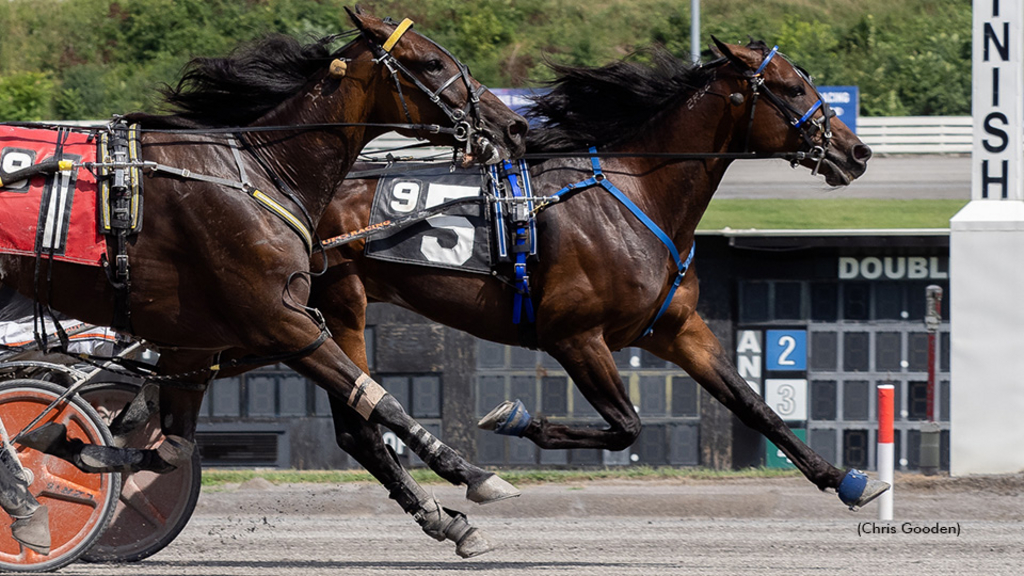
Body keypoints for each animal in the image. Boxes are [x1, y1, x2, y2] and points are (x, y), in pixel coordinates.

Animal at [0, 7, 524, 557]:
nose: (513, 125)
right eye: (432, 62)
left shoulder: (194, 341)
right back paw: (24, 502)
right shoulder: (281, 320)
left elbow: (172, 448)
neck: (260, 171)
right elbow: (384, 401)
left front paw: (73, 445)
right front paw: (476, 476)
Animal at [311, 39, 888, 506]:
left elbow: (754, 405)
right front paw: (516, 418)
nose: (857, 151)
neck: (638, 193)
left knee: (356, 426)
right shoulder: (575, 336)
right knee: (361, 423)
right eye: (792, 88)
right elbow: (627, 426)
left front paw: (845, 479)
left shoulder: (678, 329)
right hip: (340, 306)